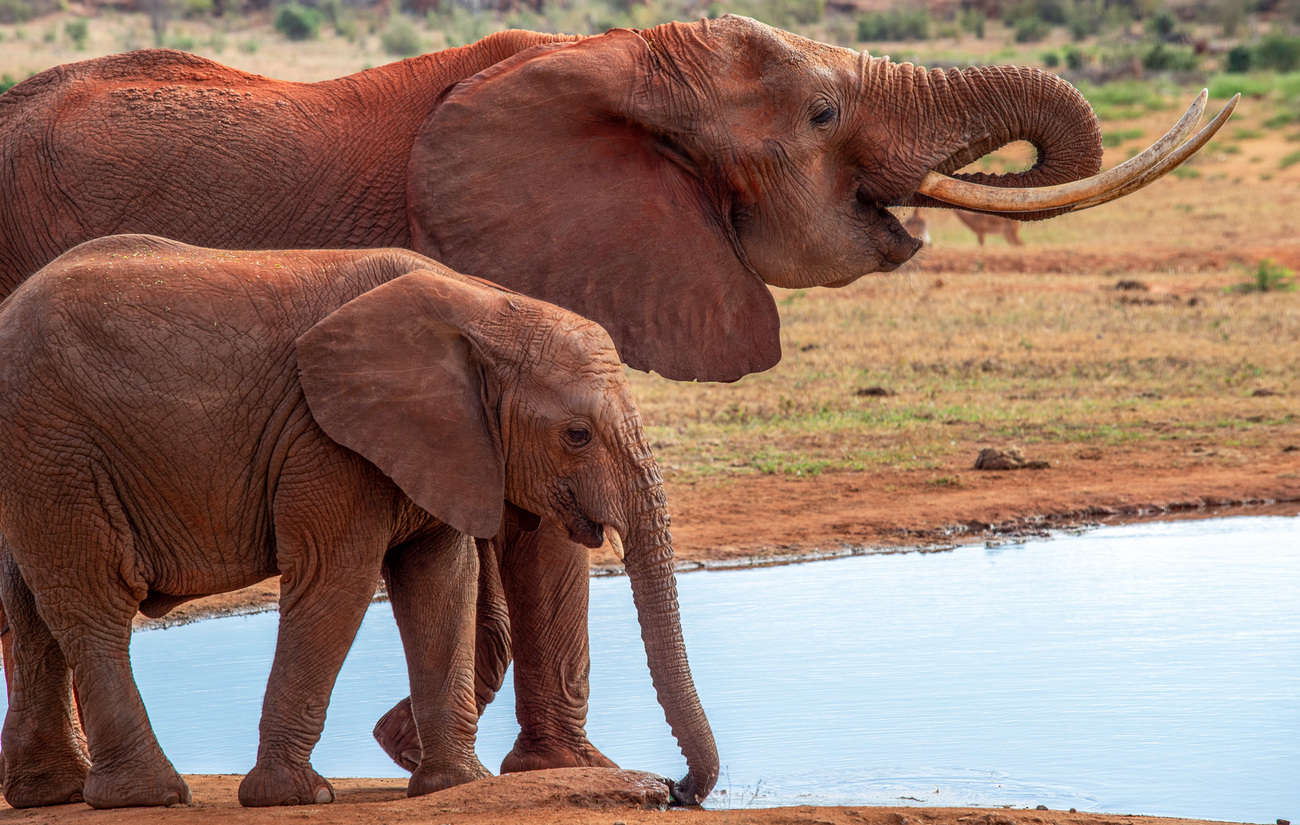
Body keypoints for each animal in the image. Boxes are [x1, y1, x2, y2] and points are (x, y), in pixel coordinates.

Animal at [0, 235, 712, 810]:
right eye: (576, 435)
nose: (675, 790)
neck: (482, 310)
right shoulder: (325, 442)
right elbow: (338, 580)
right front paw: (296, 797)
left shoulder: (440, 444)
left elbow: (440, 580)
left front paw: (457, 785)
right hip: (55, 448)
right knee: (91, 601)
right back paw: (149, 796)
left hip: (36, 461)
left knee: (29, 605)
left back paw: (53, 794)